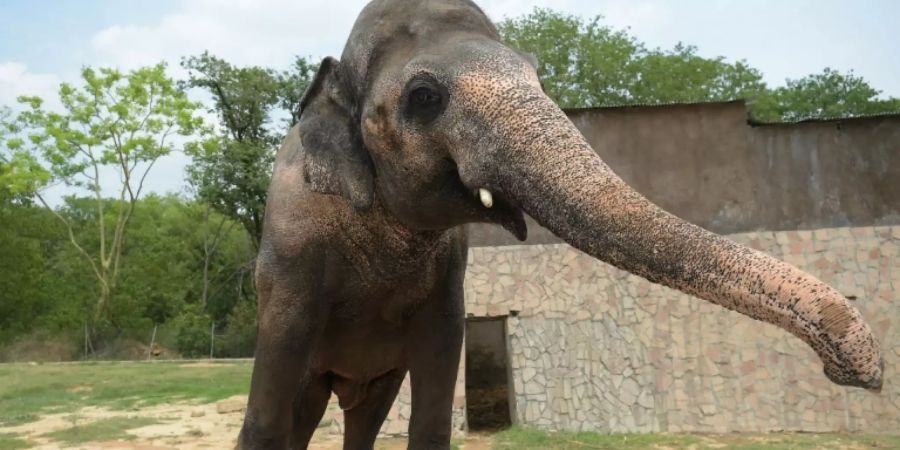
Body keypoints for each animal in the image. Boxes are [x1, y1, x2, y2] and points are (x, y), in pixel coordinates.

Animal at [236, 0, 884, 448]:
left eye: (540, 78)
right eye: (423, 96)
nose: (859, 374)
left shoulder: (450, 272)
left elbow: (438, 385)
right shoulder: (290, 257)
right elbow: (268, 413)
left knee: (365, 416)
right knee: (300, 410)